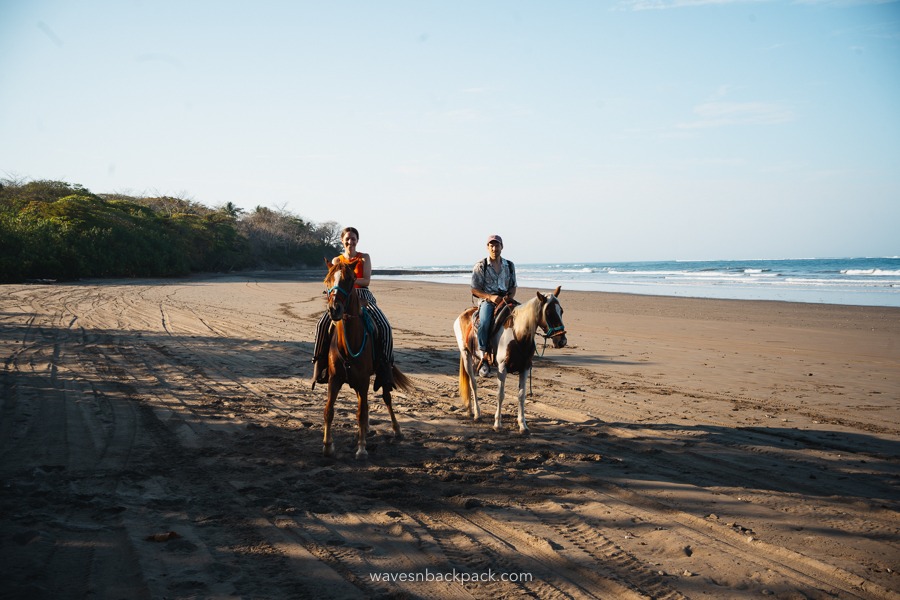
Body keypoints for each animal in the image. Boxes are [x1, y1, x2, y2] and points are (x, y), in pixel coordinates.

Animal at [320, 258, 412, 460]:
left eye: (349, 279)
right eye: (327, 281)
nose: (334, 309)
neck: (349, 343)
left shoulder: (363, 381)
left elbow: (361, 413)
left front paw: (361, 448)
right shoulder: (334, 379)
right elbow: (329, 410)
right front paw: (328, 446)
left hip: (381, 375)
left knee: (386, 398)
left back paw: (396, 430)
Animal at [454, 288, 568, 434]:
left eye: (561, 311)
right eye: (548, 312)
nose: (562, 341)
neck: (519, 335)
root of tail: (464, 314)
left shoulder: (525, 368)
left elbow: (521, 395)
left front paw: (523, 425)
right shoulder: (502, 368)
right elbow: (500, 394)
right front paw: (497, 424)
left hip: (475, 358)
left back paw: (470, 409)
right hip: (465, 354)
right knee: (473, 383)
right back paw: (477, 414)